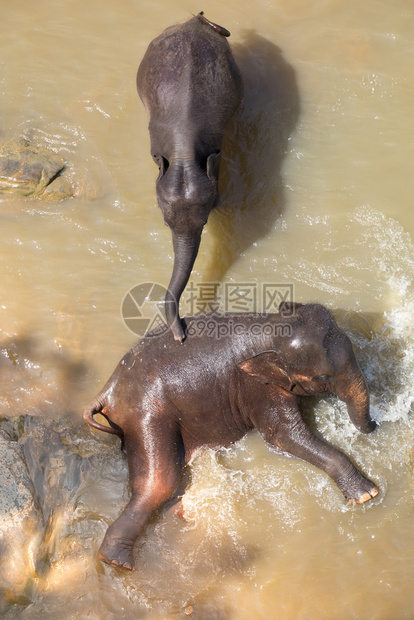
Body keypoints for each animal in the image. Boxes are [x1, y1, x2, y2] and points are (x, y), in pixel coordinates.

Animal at [84, 302, 378, 568]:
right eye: (324, 377)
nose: (375, 425)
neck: (270, 329)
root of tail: (109, 389)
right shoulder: (257, 388)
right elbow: (283, 435)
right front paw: (368, 494)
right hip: (146, 416)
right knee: (159, 483)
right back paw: (116, 562)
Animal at [137, 12, 244, 342]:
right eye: (164, 224)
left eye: (206, 222)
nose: (181, 336)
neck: (183, 150)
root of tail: (194, 21)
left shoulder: (215, 145)